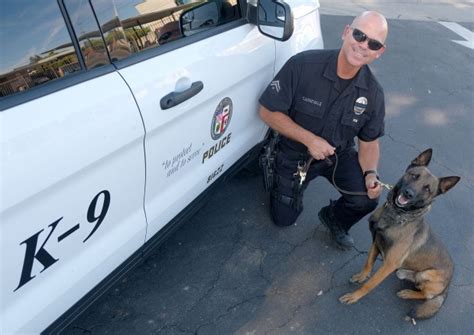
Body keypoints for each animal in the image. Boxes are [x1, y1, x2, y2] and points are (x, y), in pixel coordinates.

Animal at [338, 149, 462, 320]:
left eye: (427, 189)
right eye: (414, 176)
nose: (408, 193)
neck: (396, 217)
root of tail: (448, 286)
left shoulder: (389, 264)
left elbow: (370, 285)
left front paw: (355, 296)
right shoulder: (376, 243)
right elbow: (368, 264)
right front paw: (361, 276)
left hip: (426, 274)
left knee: (426, 295)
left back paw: (407, 293)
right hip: (403, 272)